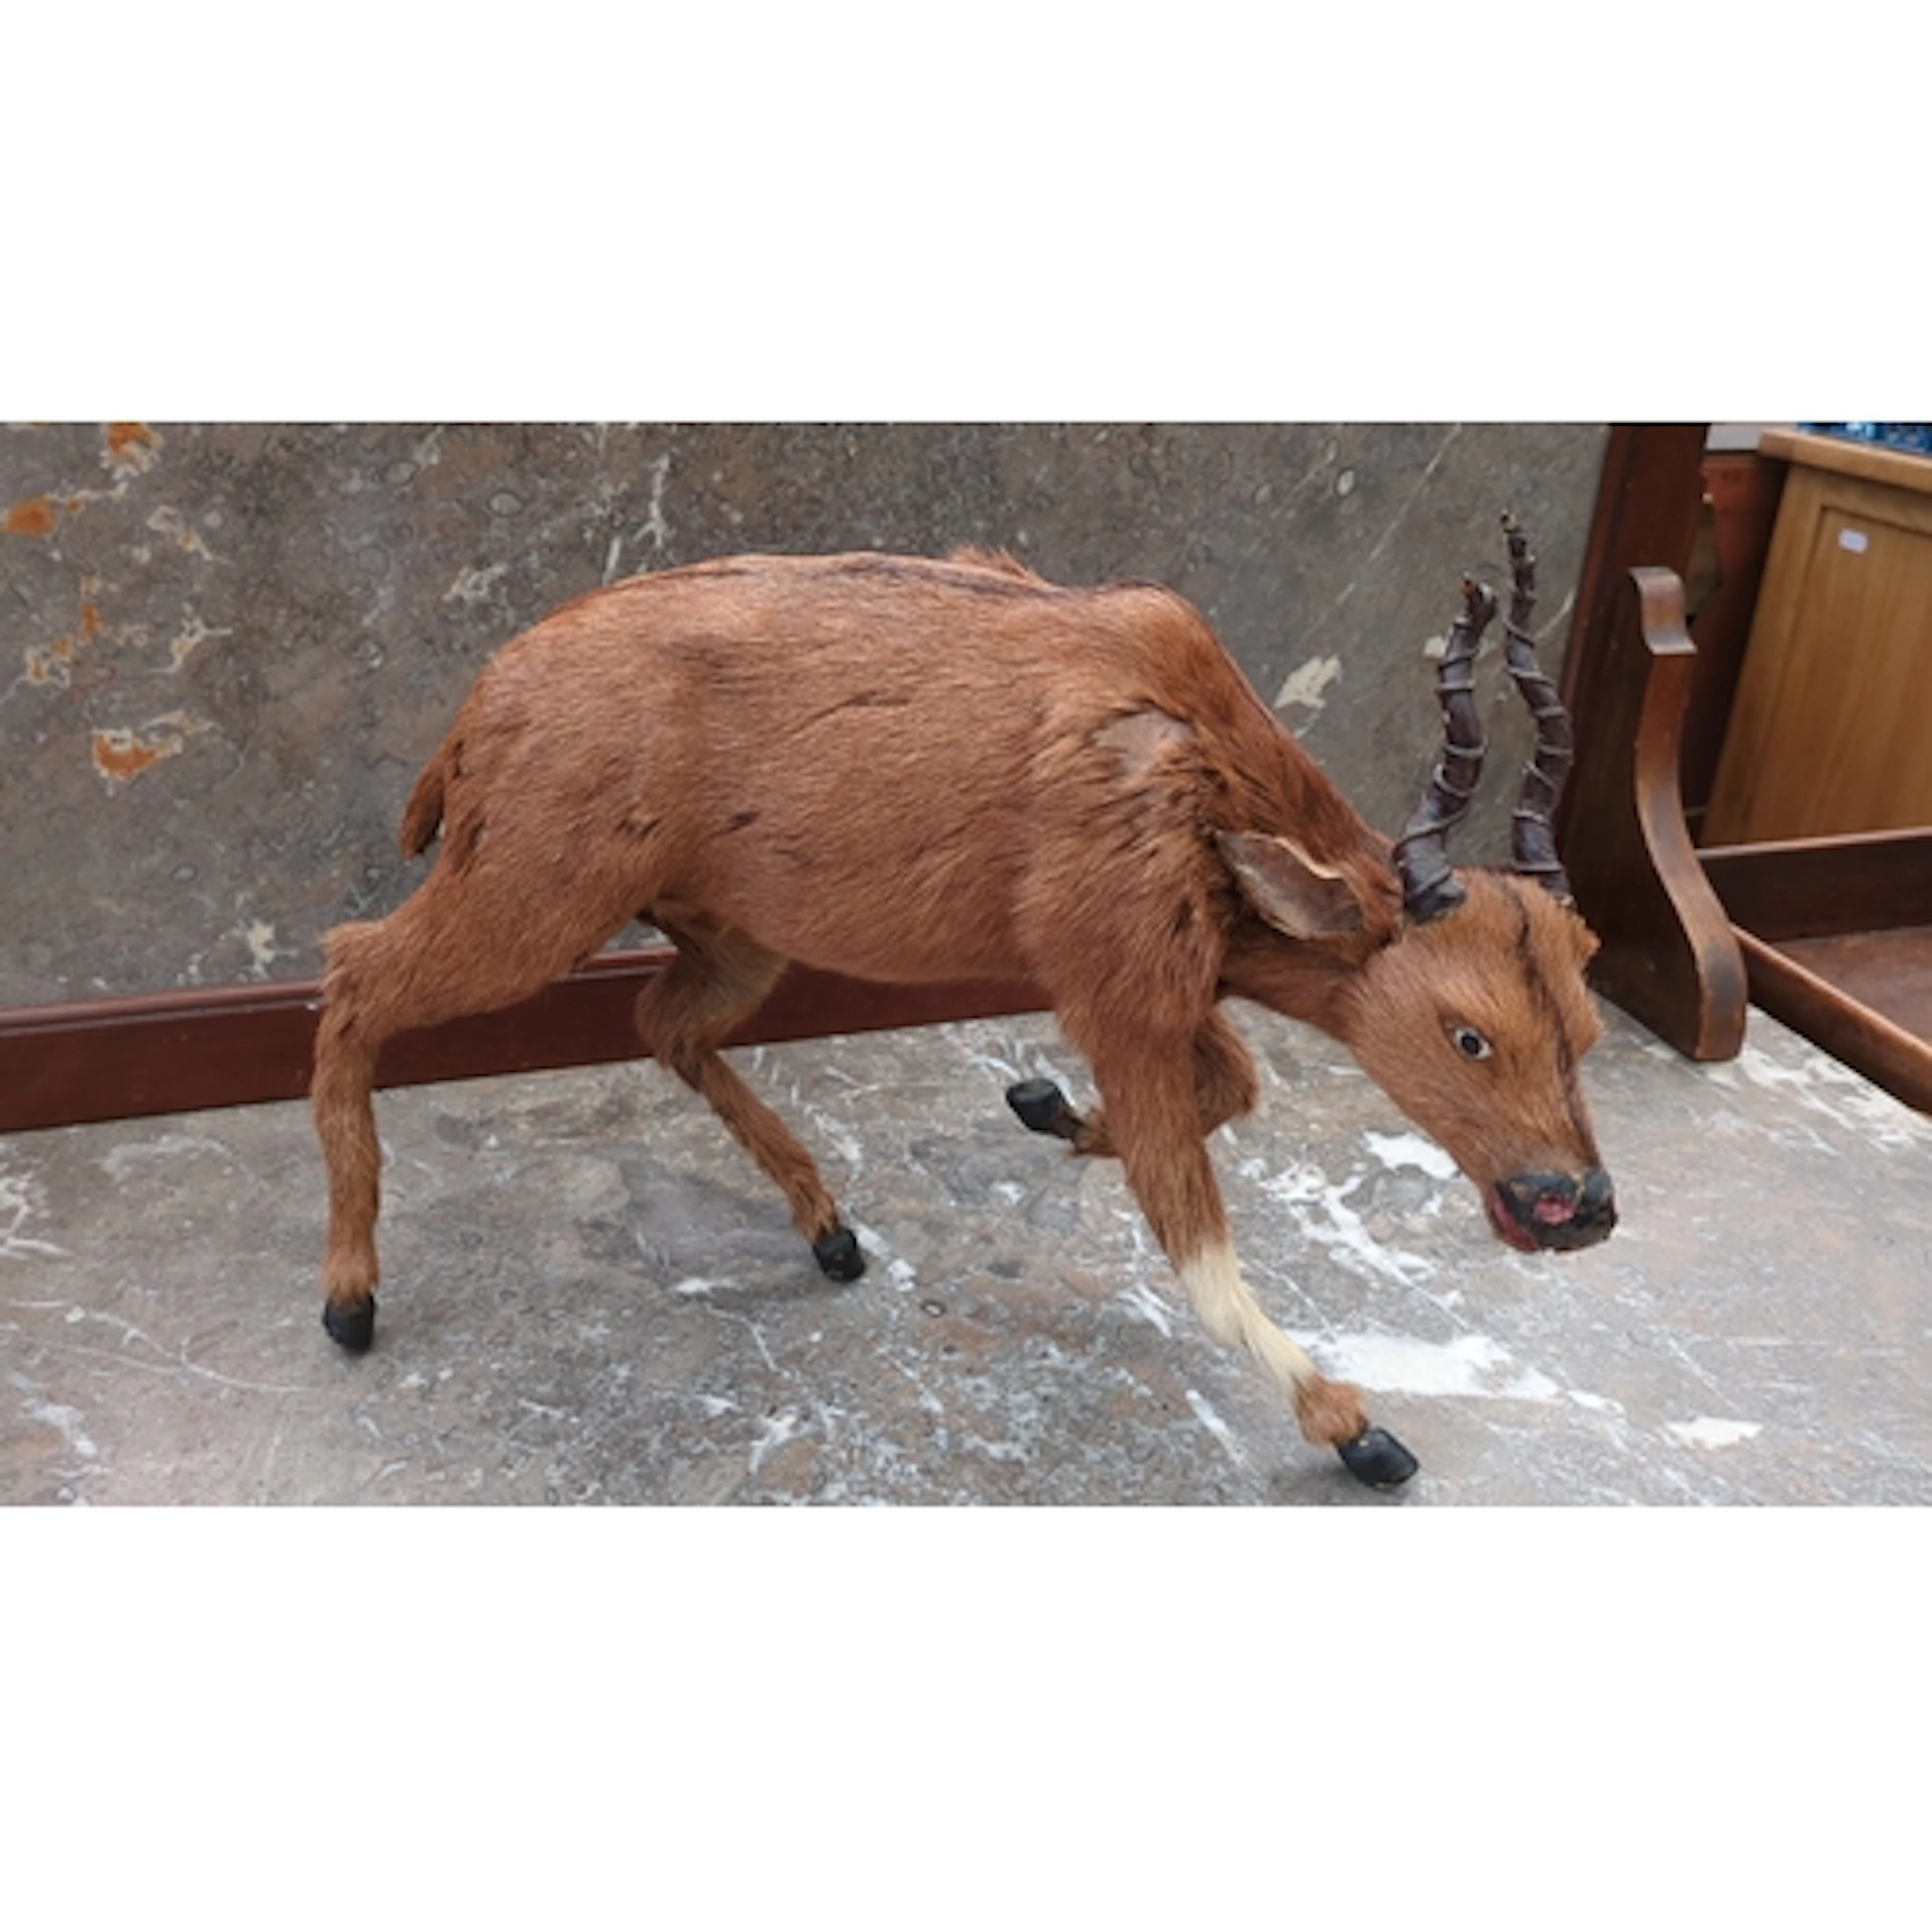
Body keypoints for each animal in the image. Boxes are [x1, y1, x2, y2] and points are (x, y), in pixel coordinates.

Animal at [311, 512, 1613, 1489]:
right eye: (1469, 1034)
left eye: (1589, 1021)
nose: (1577, 1207)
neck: (1194, 769)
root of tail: (479, 716)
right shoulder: (1119, 992)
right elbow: (1195, 1234)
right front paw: (1358, 1428)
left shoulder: (1164, 993)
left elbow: (1230, 1087)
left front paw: (1044, 1106)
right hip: (532, 902)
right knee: (351, 973)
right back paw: (348, 1295)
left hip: (728, 939)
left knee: (662, 1024)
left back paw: (831, 1228)